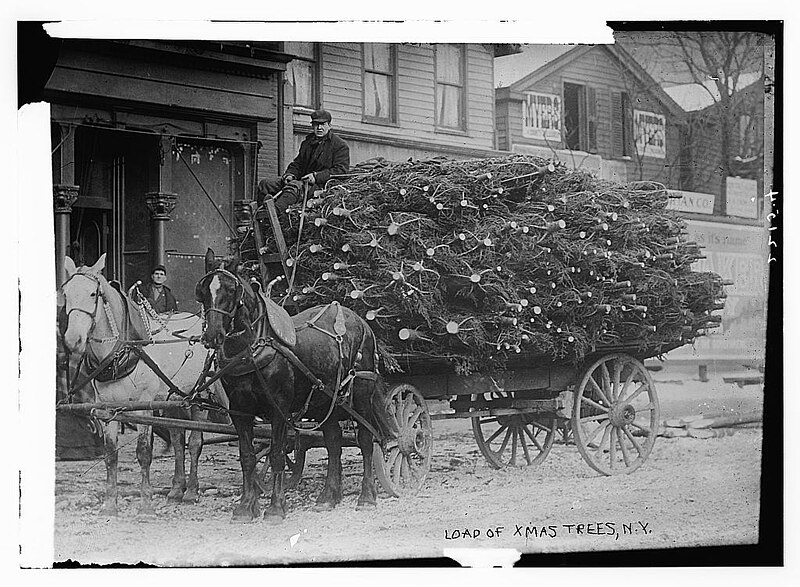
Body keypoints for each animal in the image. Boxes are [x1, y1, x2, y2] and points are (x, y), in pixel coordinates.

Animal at [60, 255, 225, 516]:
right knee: (178, 441)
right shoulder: (108, 409)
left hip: (199, 398)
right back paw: (176, 490)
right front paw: (110, 504)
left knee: (194, 443)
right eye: (66, 293)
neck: (123, 351)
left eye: (93, 294)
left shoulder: (143, 407)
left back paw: (190, 491)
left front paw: (146, 502)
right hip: (173, 399)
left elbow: (144, 453)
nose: (72, 340)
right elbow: (110, 455)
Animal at [197, 249, 396, 524]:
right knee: (333, 442)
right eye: (204, 289)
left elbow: (277, 455)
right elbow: (247, 457)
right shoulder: (239, 411)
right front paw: (246, 507)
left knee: (366, 439)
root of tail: (362, 323)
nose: (212, 335)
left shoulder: (278, 408)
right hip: (326, 400)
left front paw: (275, 507)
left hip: (361, 395)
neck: (254, 347)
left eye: (230, 289)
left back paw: (366, 496)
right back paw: (328, 497)